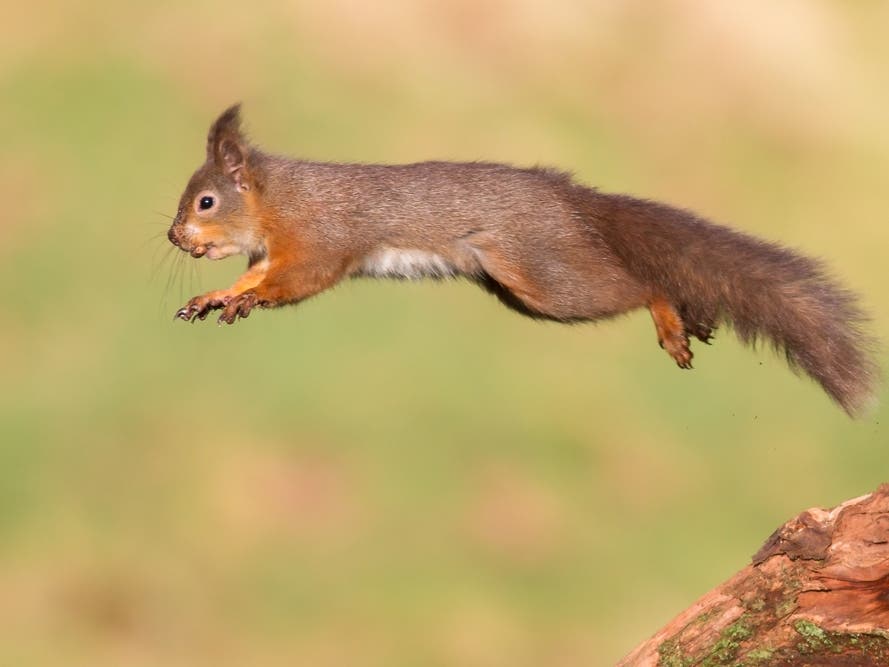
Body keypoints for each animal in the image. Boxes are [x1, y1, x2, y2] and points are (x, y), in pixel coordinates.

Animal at [165, 105, 876, 414]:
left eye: (205, 201)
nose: (174, 237)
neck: (278, 199)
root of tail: (573, 200)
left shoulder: (321, 238)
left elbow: (297, 279)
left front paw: (249, 296)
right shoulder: (277, 249)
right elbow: (255, 273)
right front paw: (218, 296)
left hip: (546, 279)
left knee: (636, 283)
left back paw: (668, 315)